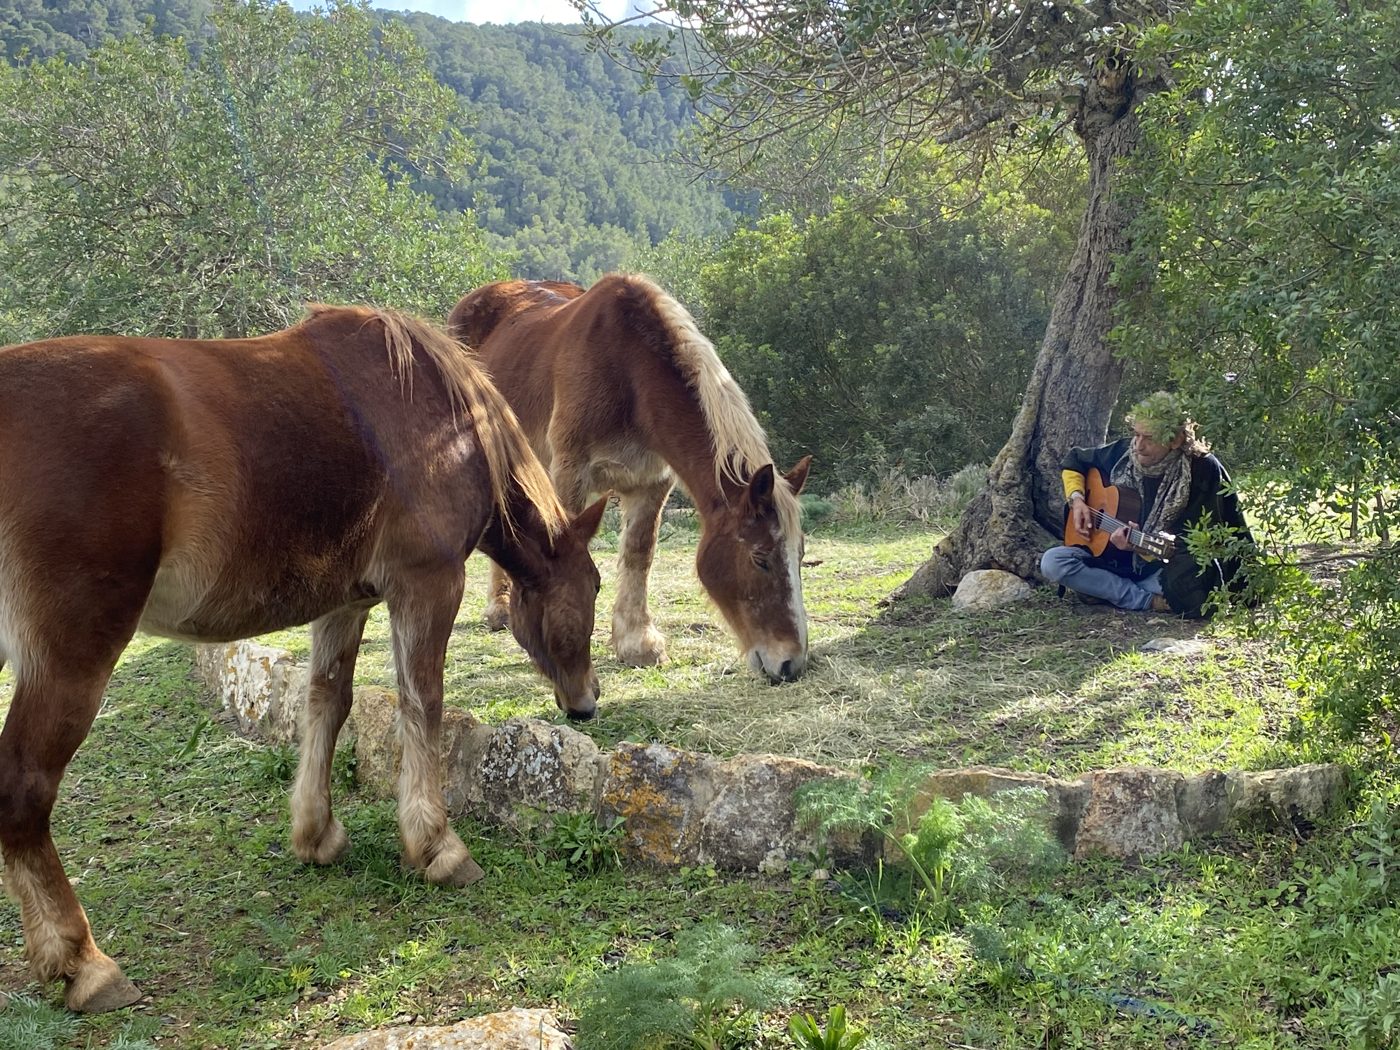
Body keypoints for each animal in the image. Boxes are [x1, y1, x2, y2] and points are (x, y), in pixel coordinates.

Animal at [0, 305, 606, 1012]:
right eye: (593, 586)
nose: (587, 700)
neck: (443, 421)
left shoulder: (346, 602)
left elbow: (328, 702)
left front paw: (316, 833)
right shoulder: (427, 585)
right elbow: (422, 705)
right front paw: (436, 847)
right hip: (71, 657)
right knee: (23, 786)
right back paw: (84, 964)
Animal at [448, 273, 812, 683]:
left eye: (800, 555)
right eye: (760, 558)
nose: (791, 663)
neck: (627, 374)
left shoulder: (651, 482)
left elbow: (639, 553)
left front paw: (636, 644)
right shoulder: (569, 474)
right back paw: (499, 608)